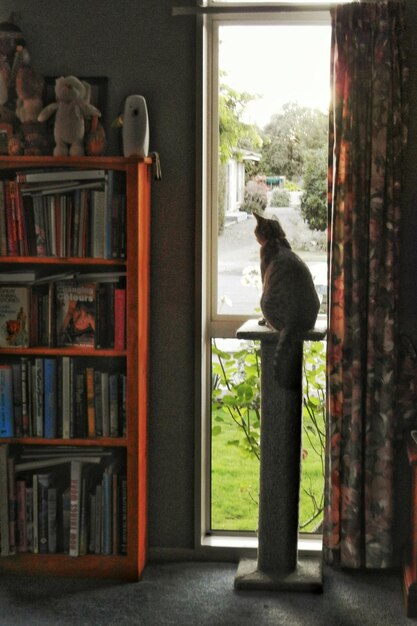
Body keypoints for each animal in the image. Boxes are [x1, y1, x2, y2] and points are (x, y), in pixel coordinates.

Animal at [254, 211, 318, 386]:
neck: (276, 239)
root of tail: (292, 321)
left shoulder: (264, 279)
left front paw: (262, 321)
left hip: (263, 300)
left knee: (276, 326)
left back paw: (267, 324)